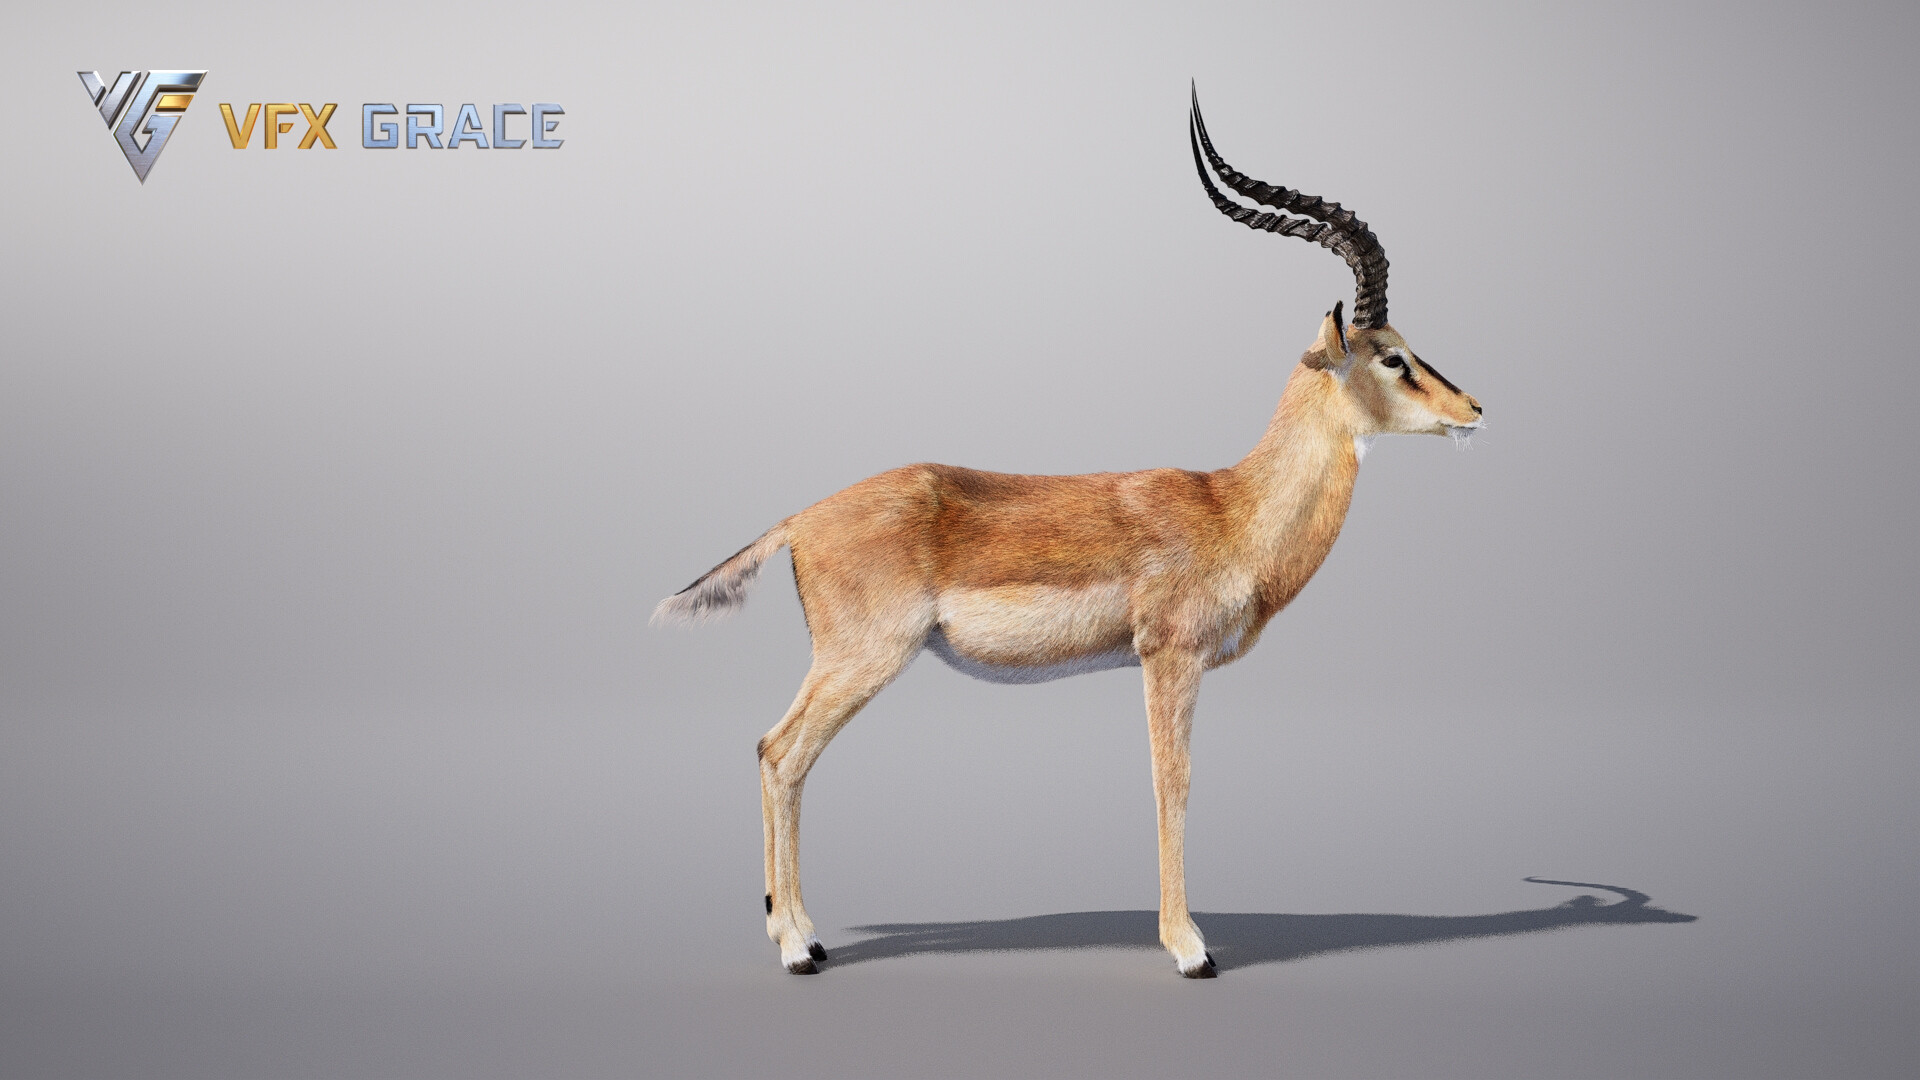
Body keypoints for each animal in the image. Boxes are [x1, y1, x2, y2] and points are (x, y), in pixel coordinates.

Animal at [656, 89, 1484, 978]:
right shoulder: (1169, 658)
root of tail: (797, 519)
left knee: (775, 752)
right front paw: (1190, 948)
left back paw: (789, 930)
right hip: (862, 658)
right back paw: (799, 946)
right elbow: (1172, 782)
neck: (1232, 509)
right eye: (1393, 357)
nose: (1474, 409)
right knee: (780, 753)